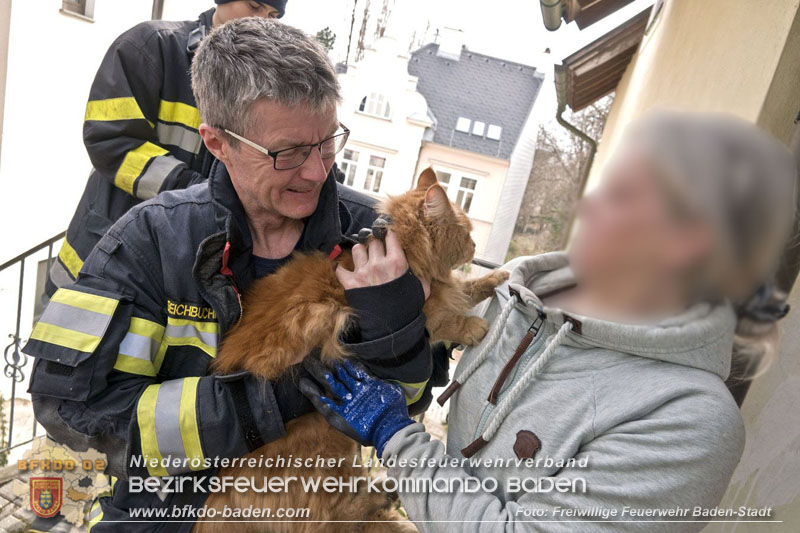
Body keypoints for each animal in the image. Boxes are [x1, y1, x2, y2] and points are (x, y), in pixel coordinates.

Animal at [191, 168, 510, 528]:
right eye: (467, 232)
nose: (474, 246)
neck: (407, 248)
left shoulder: (444, 290)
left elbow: (468, 289)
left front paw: (497, 278)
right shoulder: (424, 314)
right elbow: (452, 317)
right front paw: (475, 328)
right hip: (329, 453)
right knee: (336, 514)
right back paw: (382, 493)